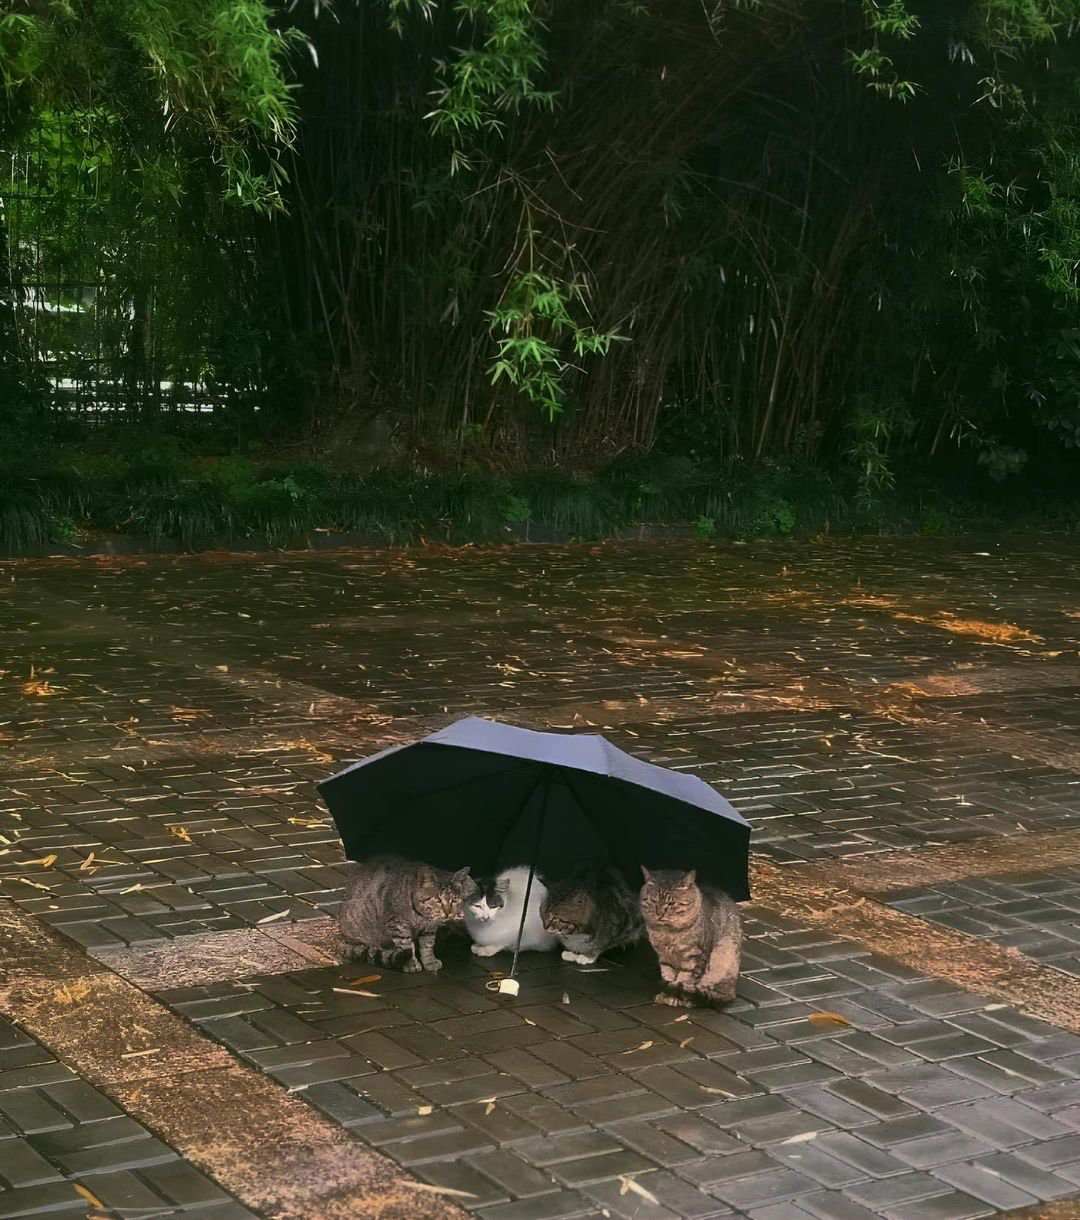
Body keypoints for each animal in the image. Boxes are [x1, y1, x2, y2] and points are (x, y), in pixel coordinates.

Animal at [639, 868, 741, 1010]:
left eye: (671, 903)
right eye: (653, 901)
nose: (659, 914)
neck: (668, 932)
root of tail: (733, 991)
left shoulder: (694, 958)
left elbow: (684, 979)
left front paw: (674, 997)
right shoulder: (664, 958)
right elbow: (668, 976)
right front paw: (665, 994)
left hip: (722, 958)